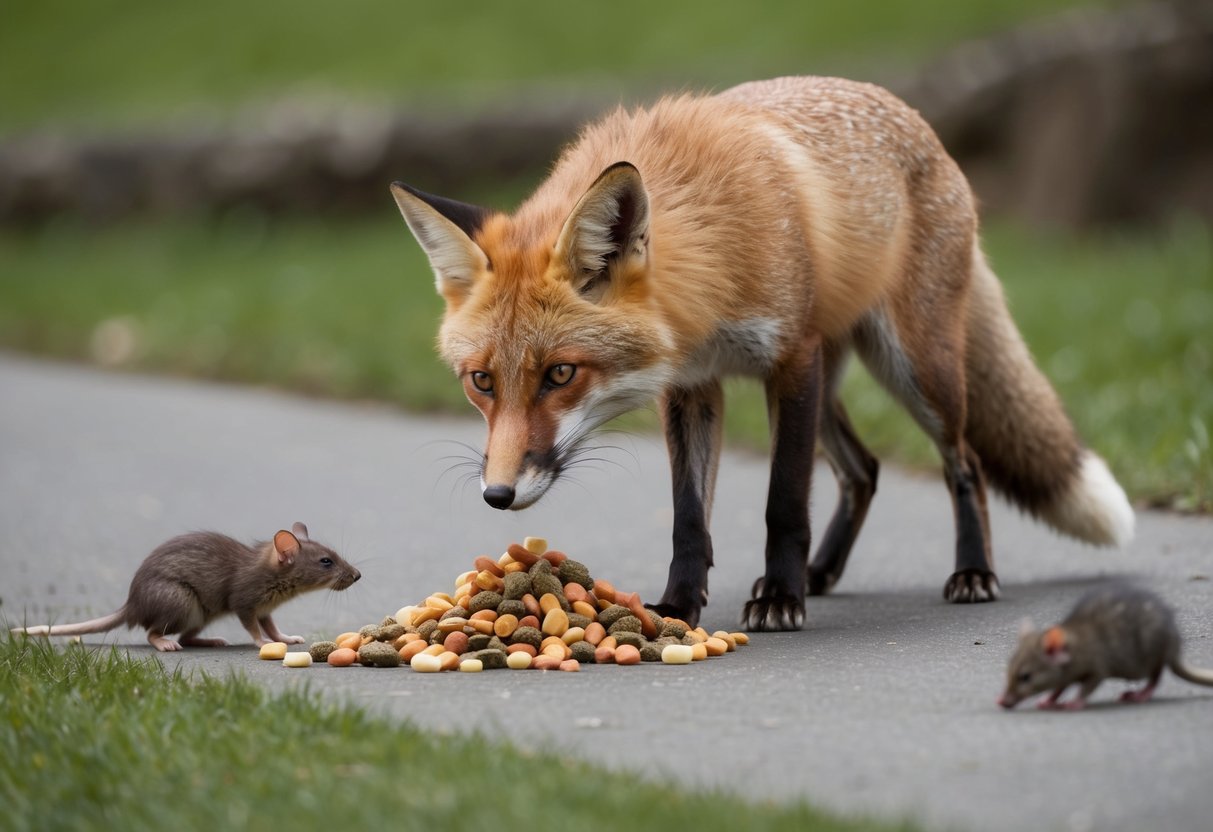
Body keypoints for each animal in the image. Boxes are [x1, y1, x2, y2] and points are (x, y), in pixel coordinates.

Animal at [389, 75, 1135, 631]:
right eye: (481, 381)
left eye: (560, 374)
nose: (497, 494)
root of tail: (912, 115)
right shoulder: (692, 387)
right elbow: (689, 519)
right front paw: (678, 607)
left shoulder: (790, 361)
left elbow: (783, 503)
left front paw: (779, 598)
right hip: (838, 384)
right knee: (863, 469)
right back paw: (824, 573)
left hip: (914, 370)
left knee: (965, 464)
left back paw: (971, 571)